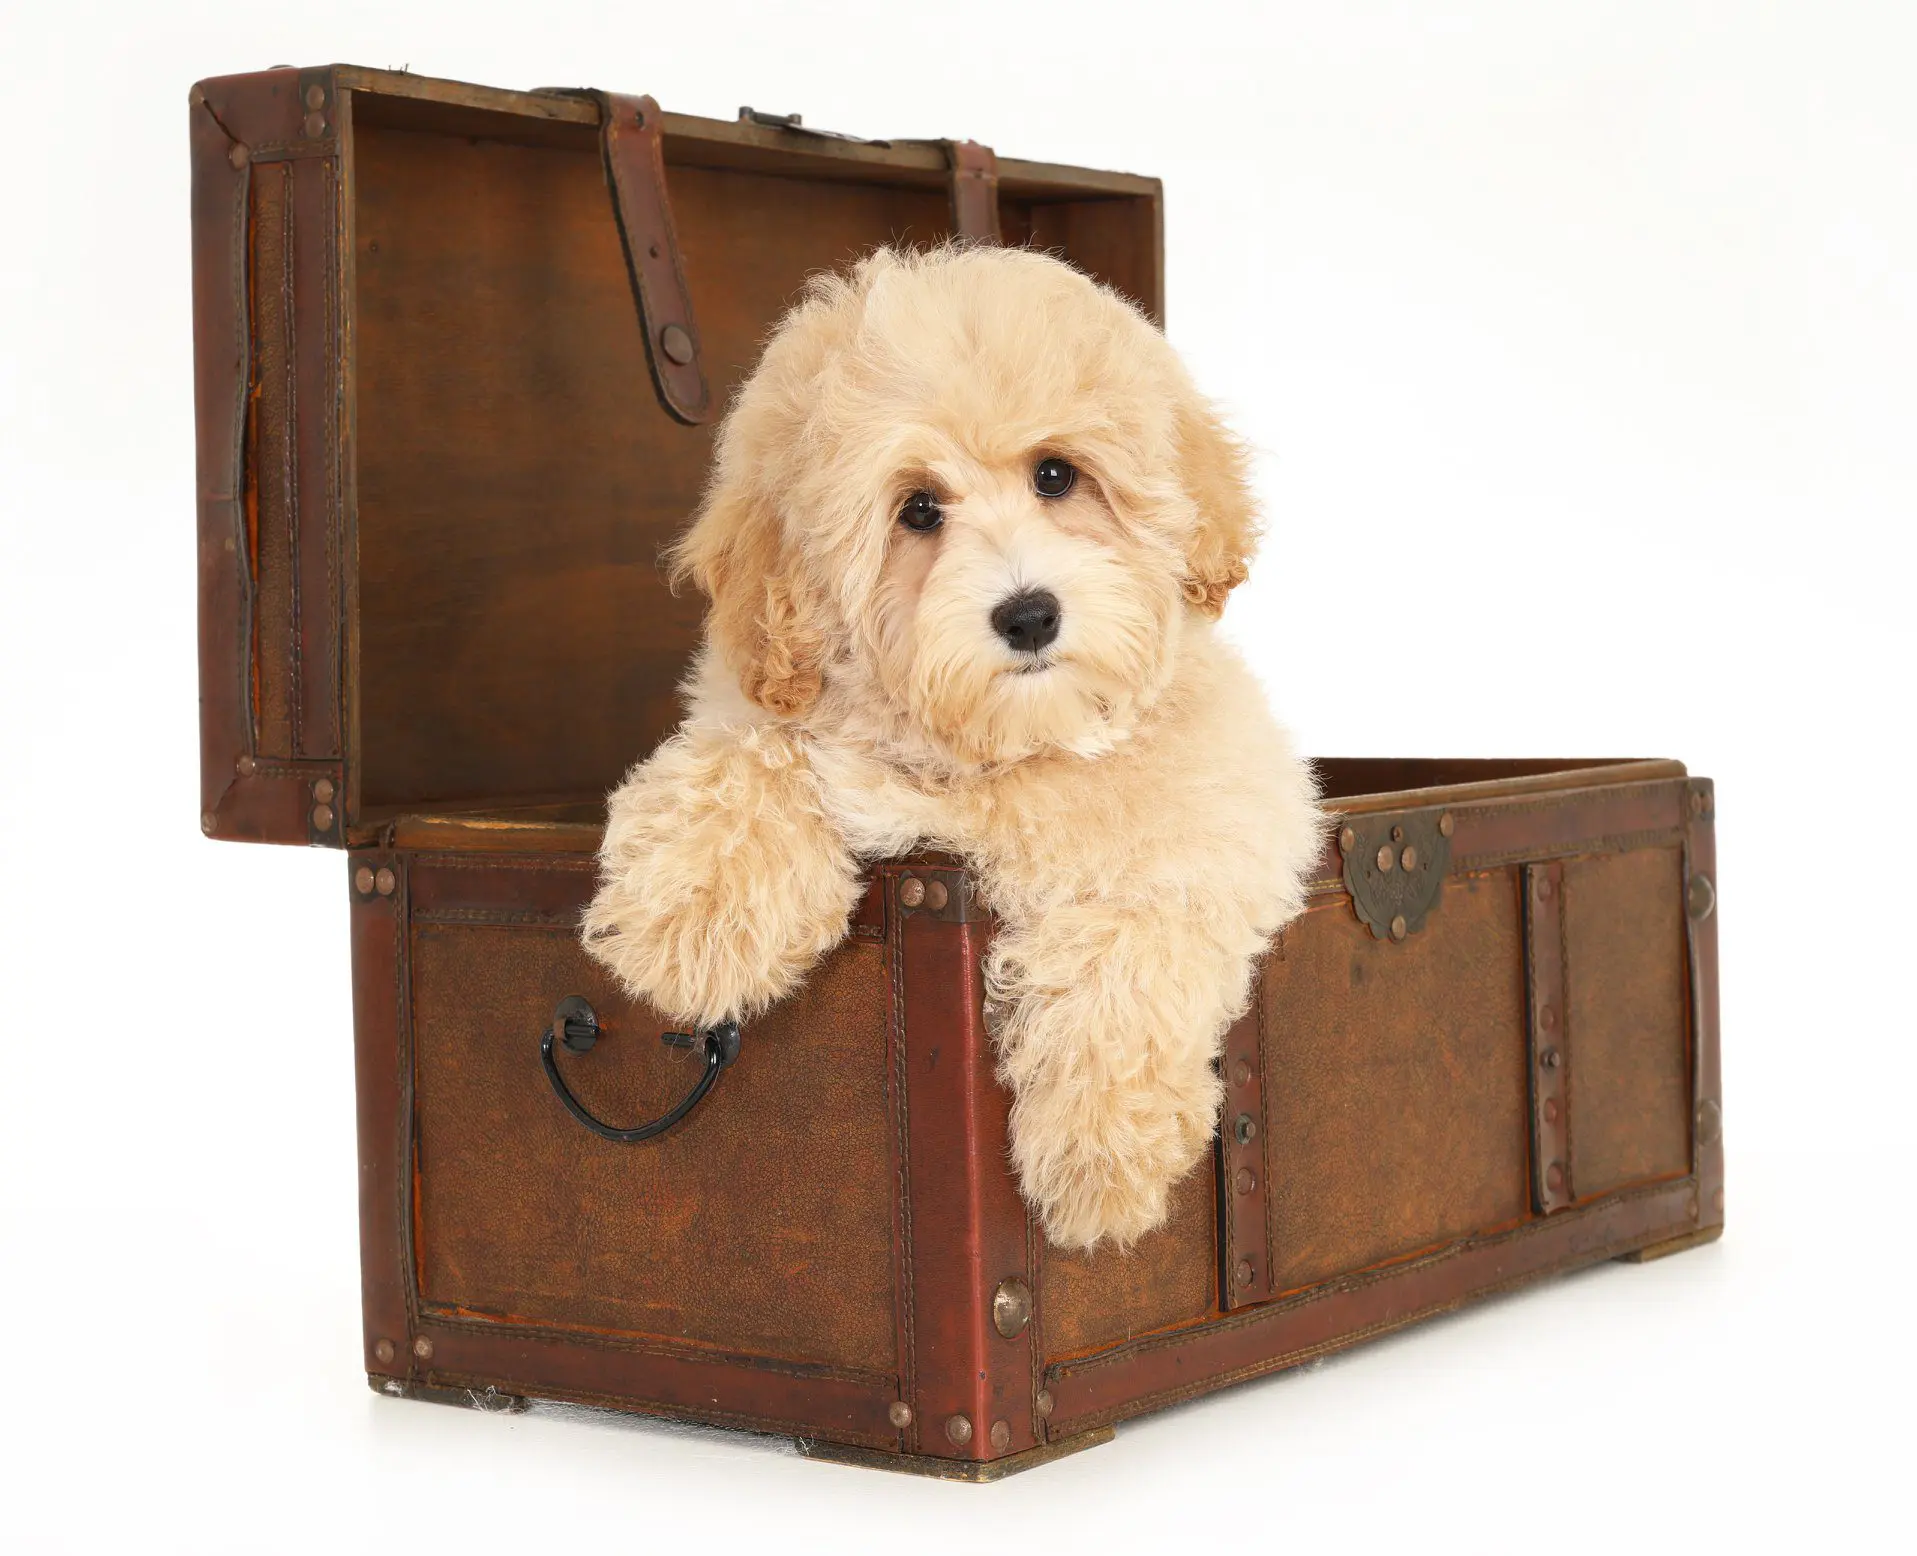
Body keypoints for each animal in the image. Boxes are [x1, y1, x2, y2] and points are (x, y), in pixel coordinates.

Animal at [582, 243, 1326, 1249]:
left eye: (1056, 476)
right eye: (918, 510)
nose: (1028, 614)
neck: (999, 754)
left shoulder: (1221, 830)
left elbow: (1130, 933)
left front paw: (1098, 1160)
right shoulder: (776, 719)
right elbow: (755, 754)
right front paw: (691, 921)